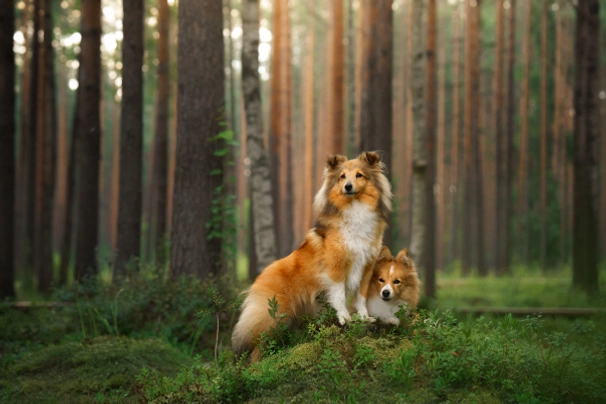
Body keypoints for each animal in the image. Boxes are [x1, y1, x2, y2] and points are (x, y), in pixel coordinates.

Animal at [233, 152, 394, 360]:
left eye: (359, 175)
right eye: (342, 176)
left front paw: (365, 317)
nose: (348, 187)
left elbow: (361, 296)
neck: (355, 209)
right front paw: (344, 318)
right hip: (273, 317)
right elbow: (339, 296)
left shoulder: (366, 267)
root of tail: (259, 278)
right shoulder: (335, 269)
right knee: (257, 346)